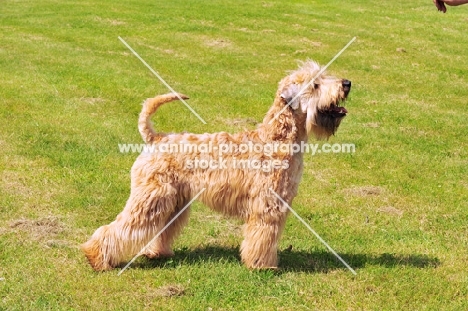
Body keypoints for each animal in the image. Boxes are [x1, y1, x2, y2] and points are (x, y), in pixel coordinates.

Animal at [81, 61, 352, 270]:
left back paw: (156, 252)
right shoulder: (267, 206)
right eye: (315, 84)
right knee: (117, 228)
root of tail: (155, 138)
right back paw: (97, 258)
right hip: (151, 197)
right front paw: (263, 266)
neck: (277, 139)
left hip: (174, 202)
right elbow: (263, 238)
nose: (347, 83)